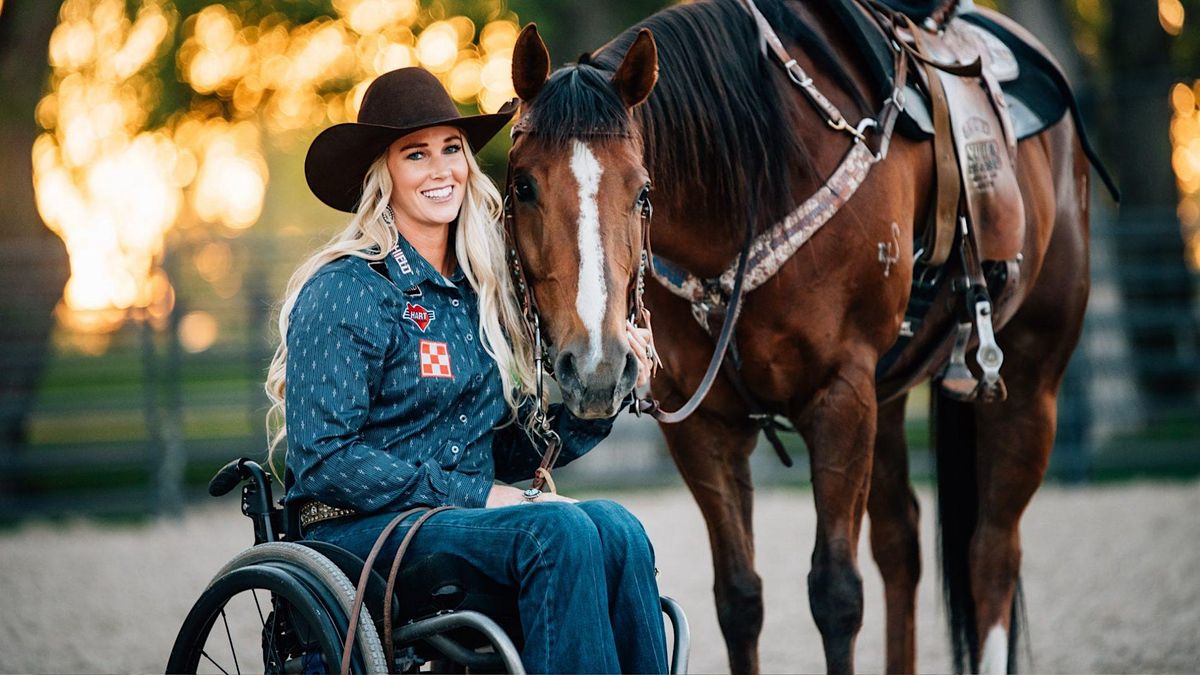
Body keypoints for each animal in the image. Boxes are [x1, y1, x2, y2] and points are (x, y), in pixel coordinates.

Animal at [504, 2, 1099, 667]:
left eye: (643, 192)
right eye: (523, 185)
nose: (596, 366)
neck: (750, 186)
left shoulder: (840, 394)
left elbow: (836, 593)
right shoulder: (703, 424)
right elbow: (738, 598)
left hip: (1027, 380)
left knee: (992, 554)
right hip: (888, 396)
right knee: (901, 542)